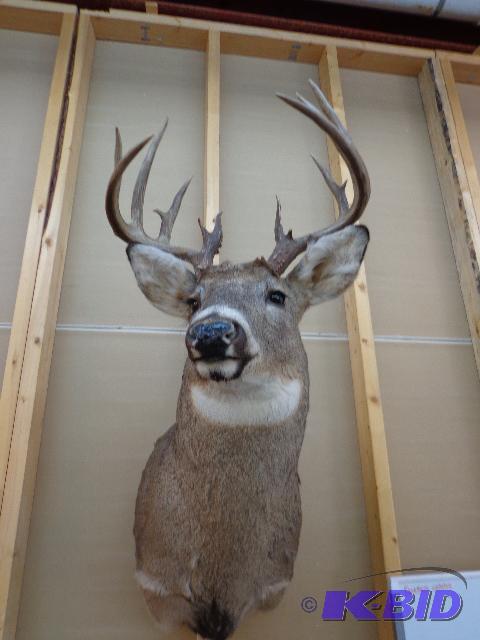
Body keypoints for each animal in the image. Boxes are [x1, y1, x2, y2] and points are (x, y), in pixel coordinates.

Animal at [105, 80, 370, 640]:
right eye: (193, 300)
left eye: (277, 295)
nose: (211, 331)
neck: (223, 569)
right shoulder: (159, 589)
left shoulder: (267, 590)